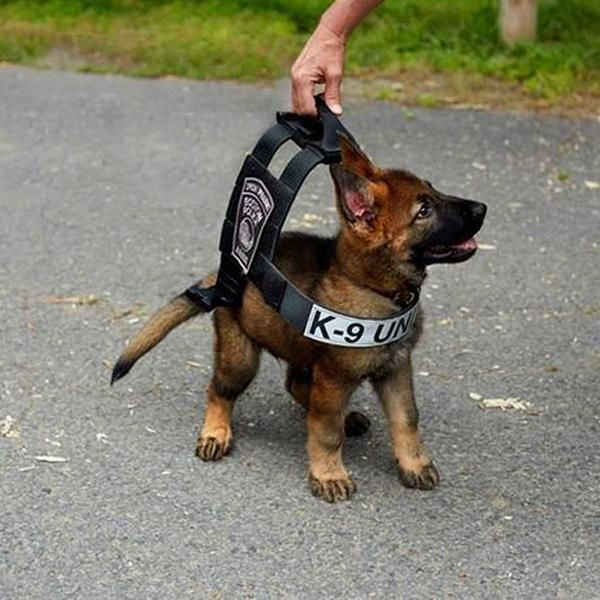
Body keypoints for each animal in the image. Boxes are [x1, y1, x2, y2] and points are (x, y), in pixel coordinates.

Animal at [112, 135, 488, 502]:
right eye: (424, 211)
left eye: (434, 191)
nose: (482, 208)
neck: (374, 288)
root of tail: (222, 275)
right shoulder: (334, 378)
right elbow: (326, 432)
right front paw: (329, 473)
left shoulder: (396, 369)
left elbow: (406, 419)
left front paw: (414, 464)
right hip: (241, 357)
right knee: (220, 390)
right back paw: (216, 432)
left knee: (296, 385)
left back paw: (344, 417)